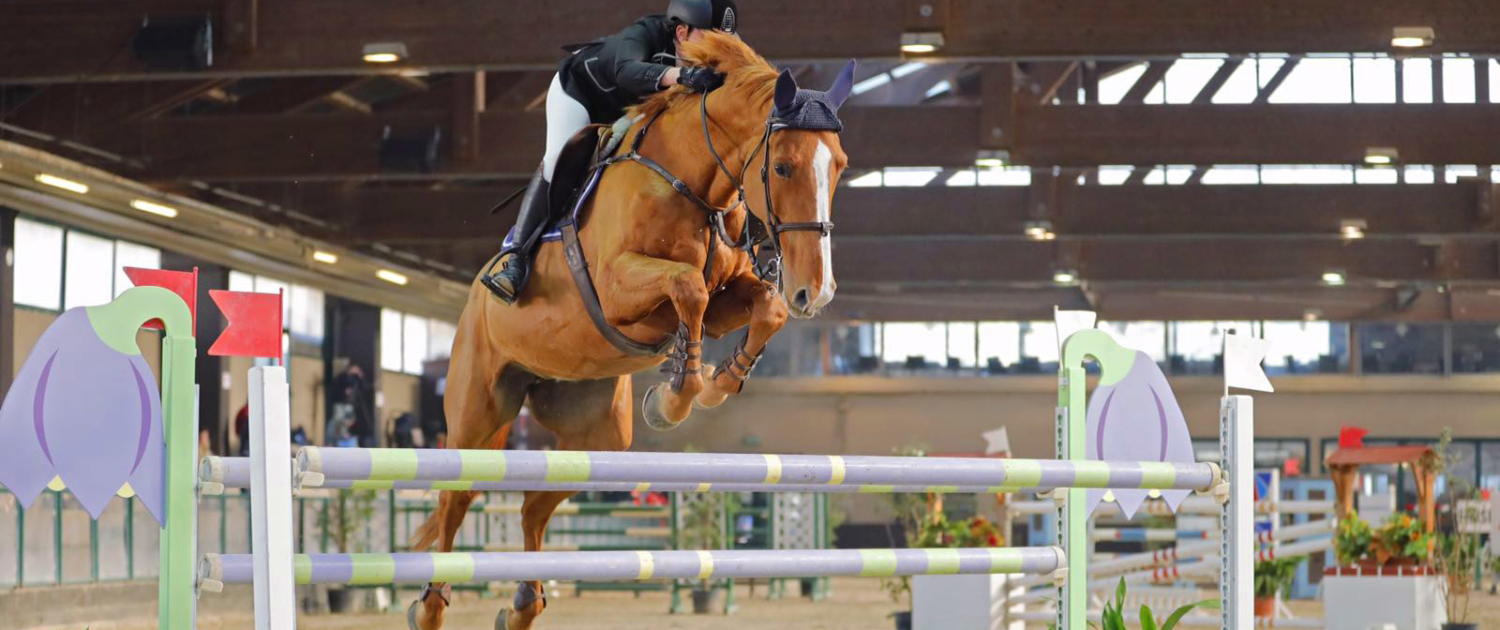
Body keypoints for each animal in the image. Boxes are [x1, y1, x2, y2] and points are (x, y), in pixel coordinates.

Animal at [408, 33, 854, 630]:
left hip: (597, 435)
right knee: (454, 499)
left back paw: (524, 603)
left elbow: (766, 309)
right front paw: (676, 396)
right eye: (782, 167)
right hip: (477, 415)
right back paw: (430, 606)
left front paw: (713, 383)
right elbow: (687, 287)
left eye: (840, 166)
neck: (692, 185)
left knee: (532, 504)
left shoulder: (724, 298)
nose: (817, 290)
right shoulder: (620, 290)